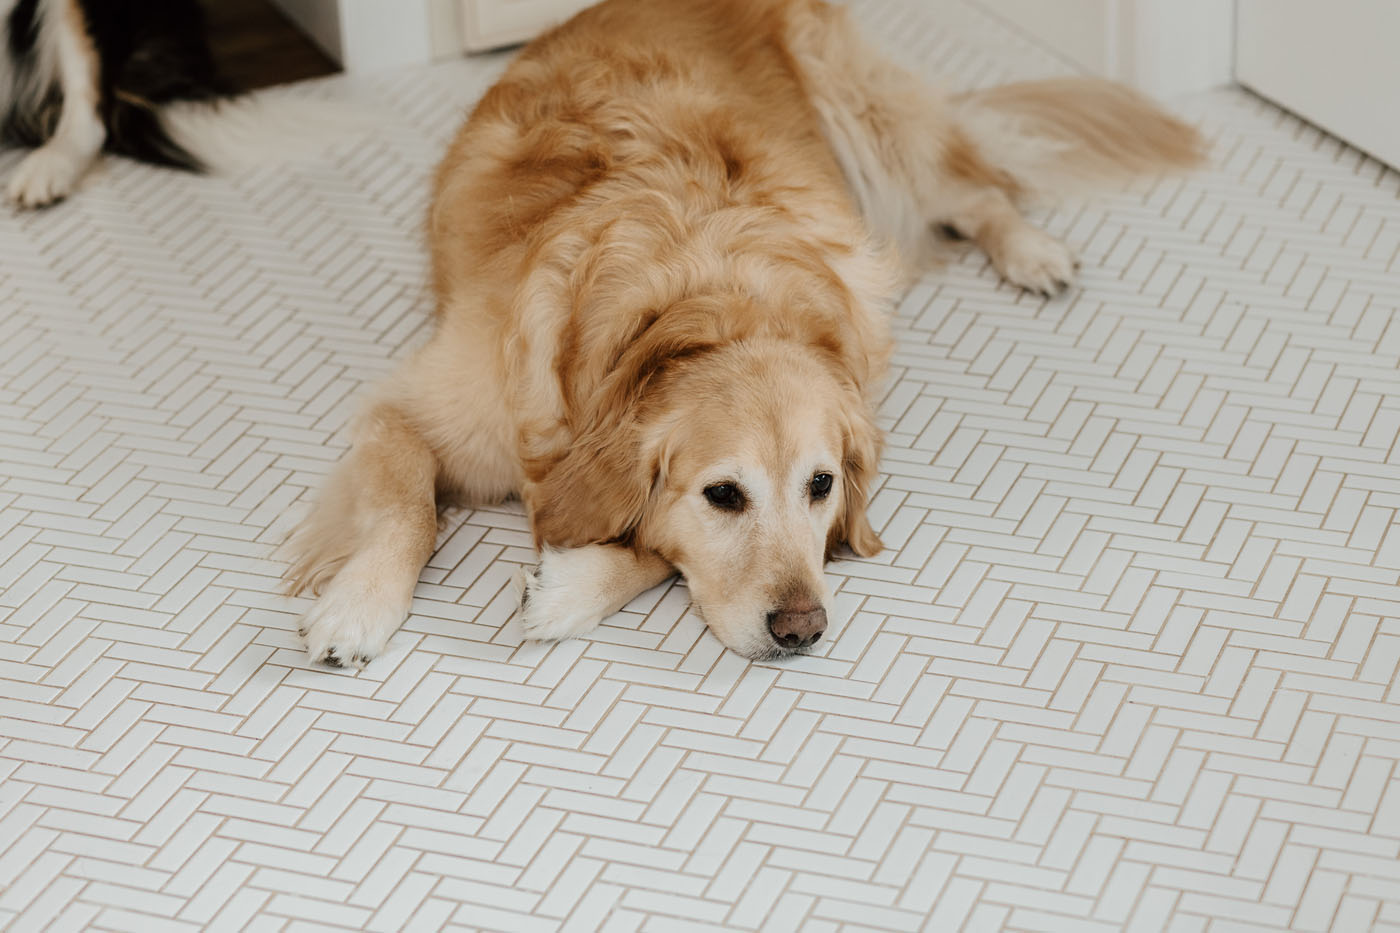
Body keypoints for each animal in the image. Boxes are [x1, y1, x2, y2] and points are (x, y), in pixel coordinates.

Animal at [287, 0, 1204, 664]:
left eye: (822, 485)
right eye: (724, 493)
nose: (803, 628)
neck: (699, 307)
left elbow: (651, 543)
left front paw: (566, 589)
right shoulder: (410, 410)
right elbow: (407, 504)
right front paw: (357, 606)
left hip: (865, 126)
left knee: (973, 187)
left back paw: (1032, 251)